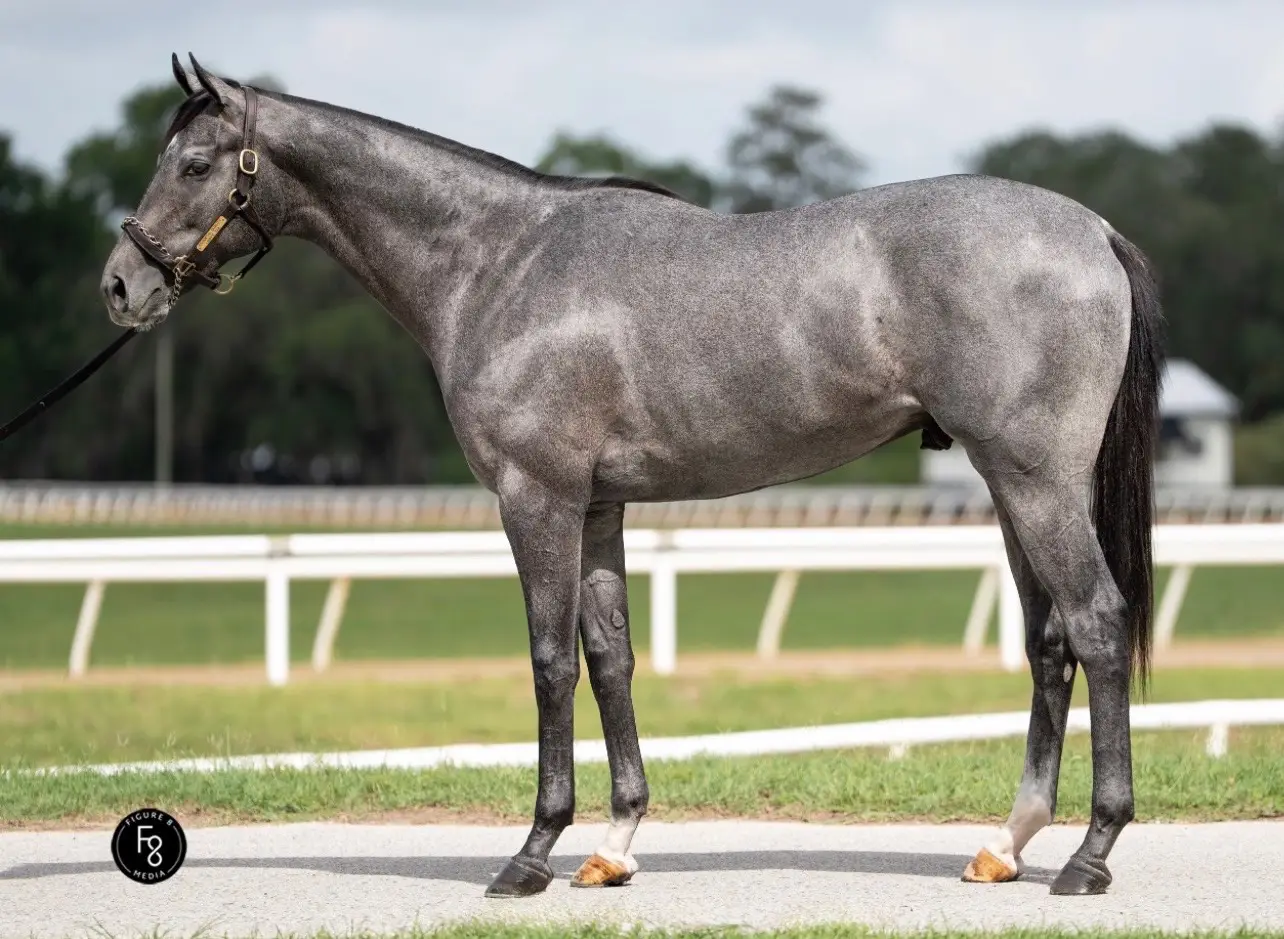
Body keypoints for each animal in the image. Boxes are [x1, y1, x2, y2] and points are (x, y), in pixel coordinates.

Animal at [100, 54, 1163, 900]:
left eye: (195, 165)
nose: (122, 283)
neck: (498, 262)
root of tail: (1094, 231)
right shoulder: (600, 507)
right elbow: (610, 659)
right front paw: (613, 845)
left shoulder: (536, 498)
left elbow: (549, 663)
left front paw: (531, 853)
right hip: (1011, 485)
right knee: (1051, 642)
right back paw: (1006, 845)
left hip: (1035, 480)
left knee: (1097, 623)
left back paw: (1090, 855)